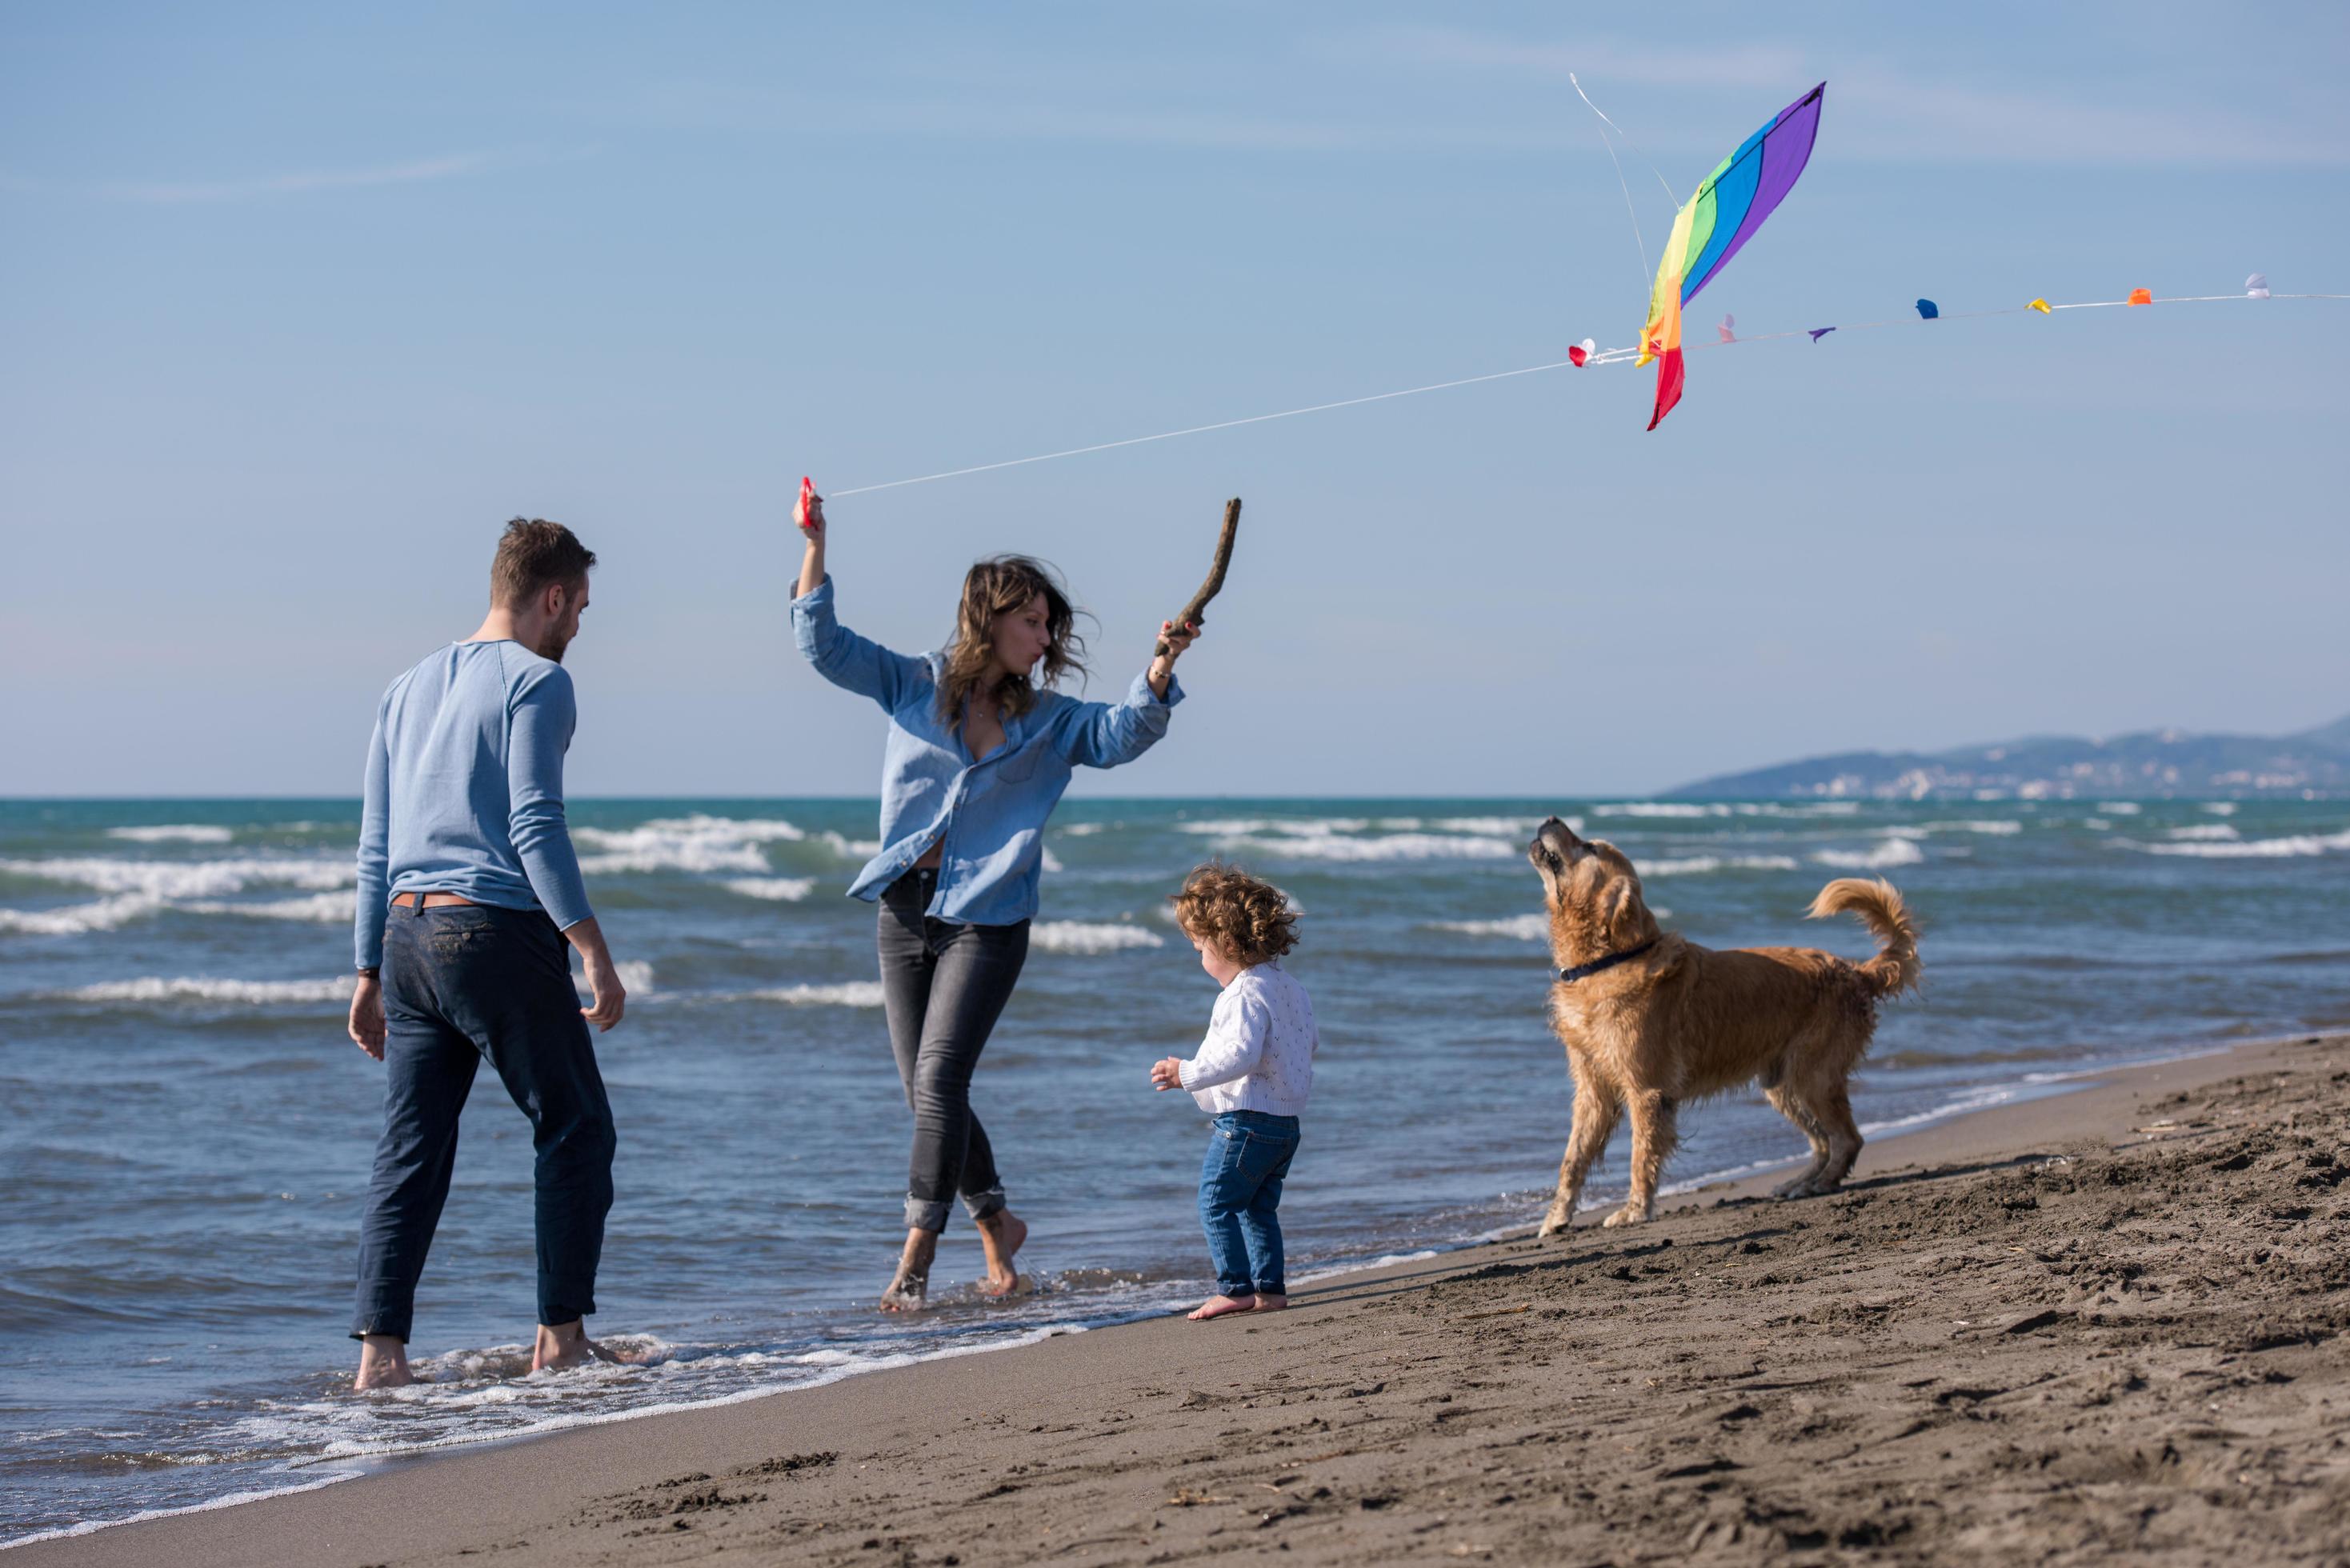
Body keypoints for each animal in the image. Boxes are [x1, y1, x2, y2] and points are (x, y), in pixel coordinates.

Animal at [1523, 818, 1927, 1231]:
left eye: (1589, 847)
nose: (1552, 819)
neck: (1609, 960)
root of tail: (1856, 972)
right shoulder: (1593, 1091)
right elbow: (1572, 1161)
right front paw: (1555, 1218)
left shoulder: (1647, 1090)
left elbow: (1640, 1157)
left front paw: (1634, 1210)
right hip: (1784, 1086)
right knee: (1823, 1142)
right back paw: (1798, 1182)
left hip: (1812, 1077)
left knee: (1848, 1139)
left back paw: (1819, 1184)